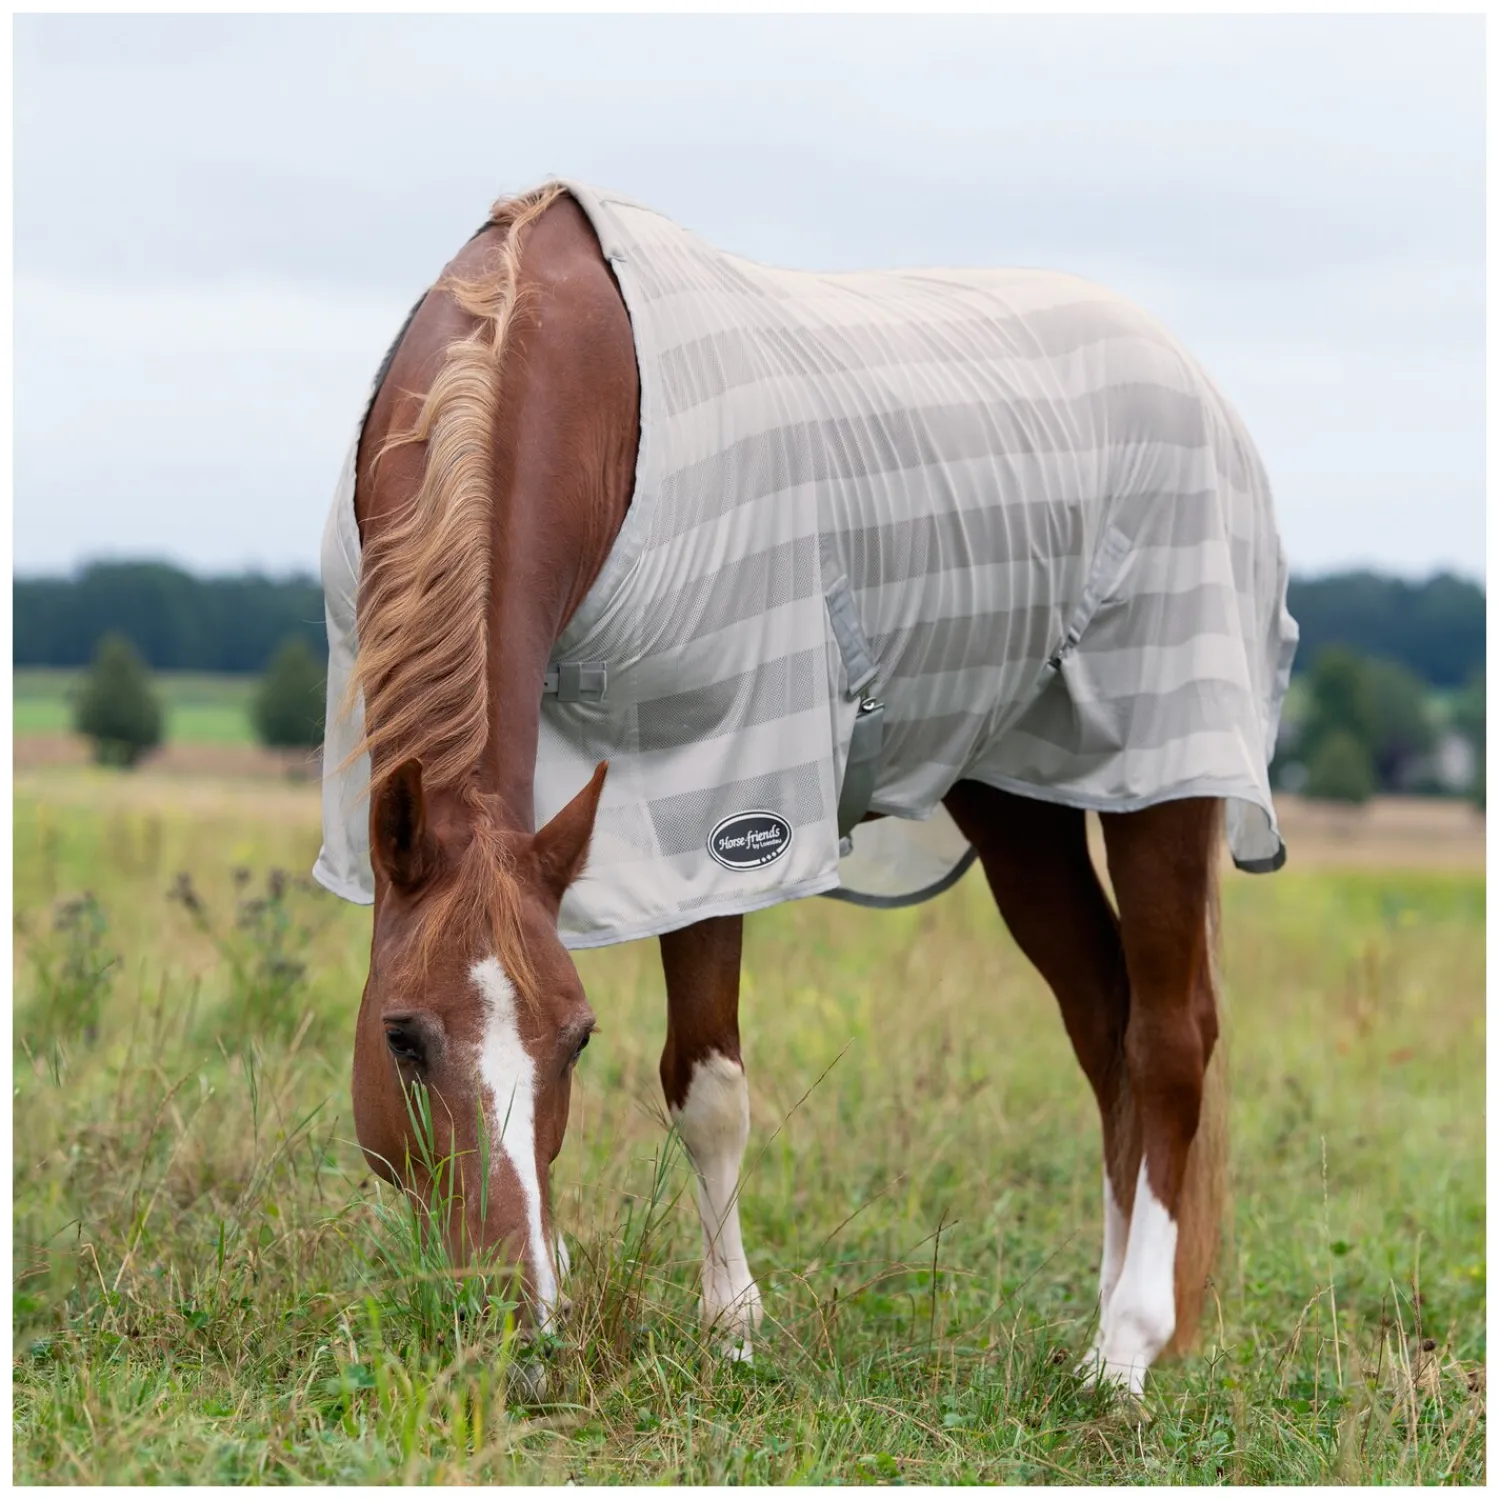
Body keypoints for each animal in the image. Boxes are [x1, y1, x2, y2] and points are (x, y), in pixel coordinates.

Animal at [316, 181, 1296, 1395]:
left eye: (578, 1040)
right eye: (402, 1037)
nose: (518, 1329)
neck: (554, 360)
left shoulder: (722, 801)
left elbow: (707, 1084)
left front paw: (732, 1322)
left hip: (1163, 774)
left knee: (1168, 1038)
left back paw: (1125, 1349)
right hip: (1018, 802)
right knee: (1102, 1021)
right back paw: (1106, 1307)